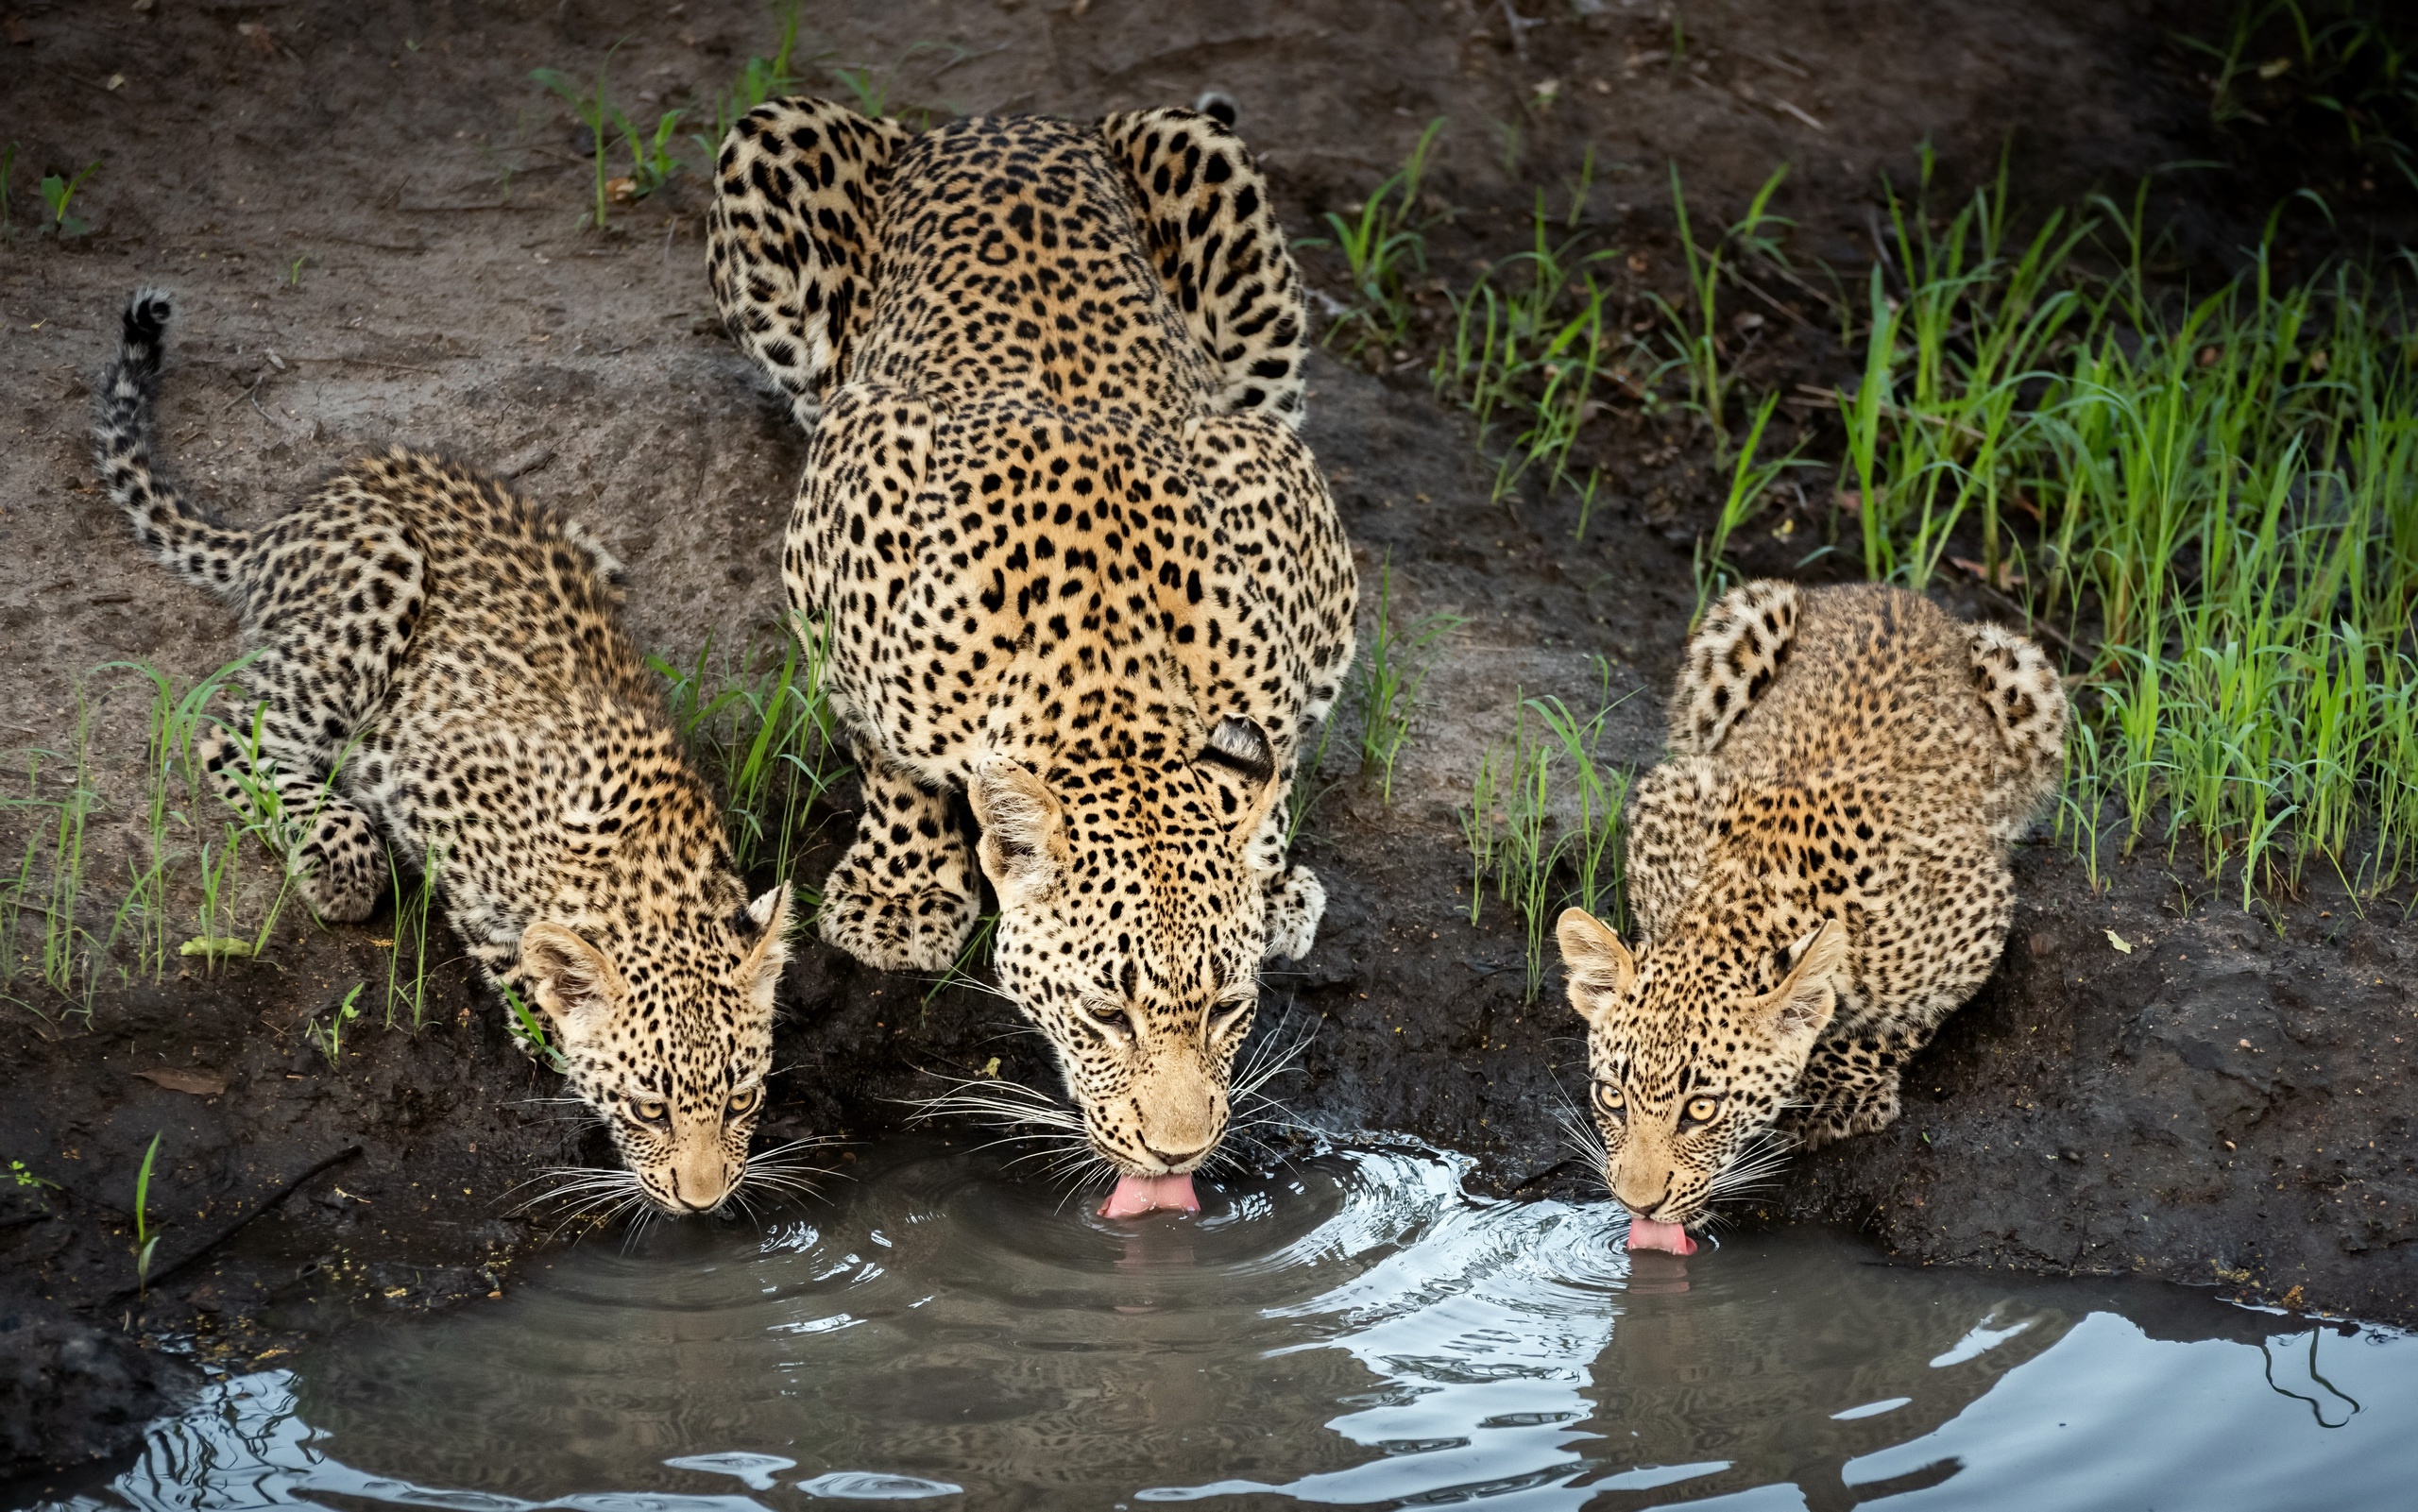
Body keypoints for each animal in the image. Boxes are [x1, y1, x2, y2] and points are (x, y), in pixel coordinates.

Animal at [706, 93, 1363, 1204]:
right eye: (1106, 1012)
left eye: (1228, 1007)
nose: (1180, 1153)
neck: (1109, 675)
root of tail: (999, 122)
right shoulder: (854, 485)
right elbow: (887, 751)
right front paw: (898, 894)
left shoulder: (1278, 489)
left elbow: (1276, 751)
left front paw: (1267, 873)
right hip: (773, 147)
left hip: (1216, 190)